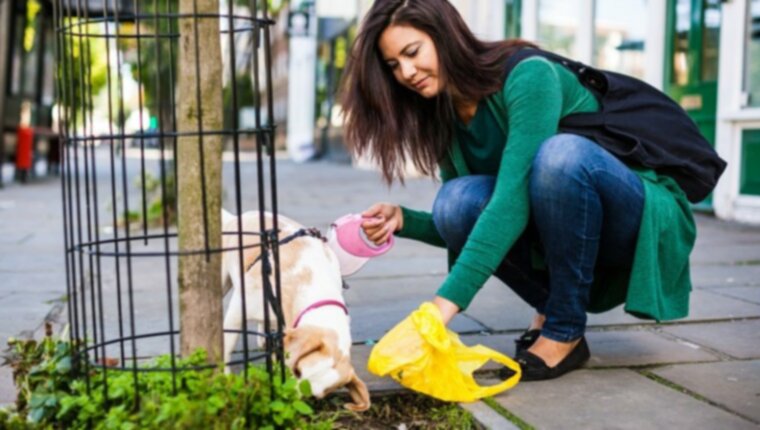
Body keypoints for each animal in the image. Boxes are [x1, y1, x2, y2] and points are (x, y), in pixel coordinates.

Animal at [218, 210, 370, 412]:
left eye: (312, 395)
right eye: (297, 371)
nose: (283, 399)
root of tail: (237, 217)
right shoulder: (238, 311)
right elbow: (227, 348)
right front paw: (224, 378)